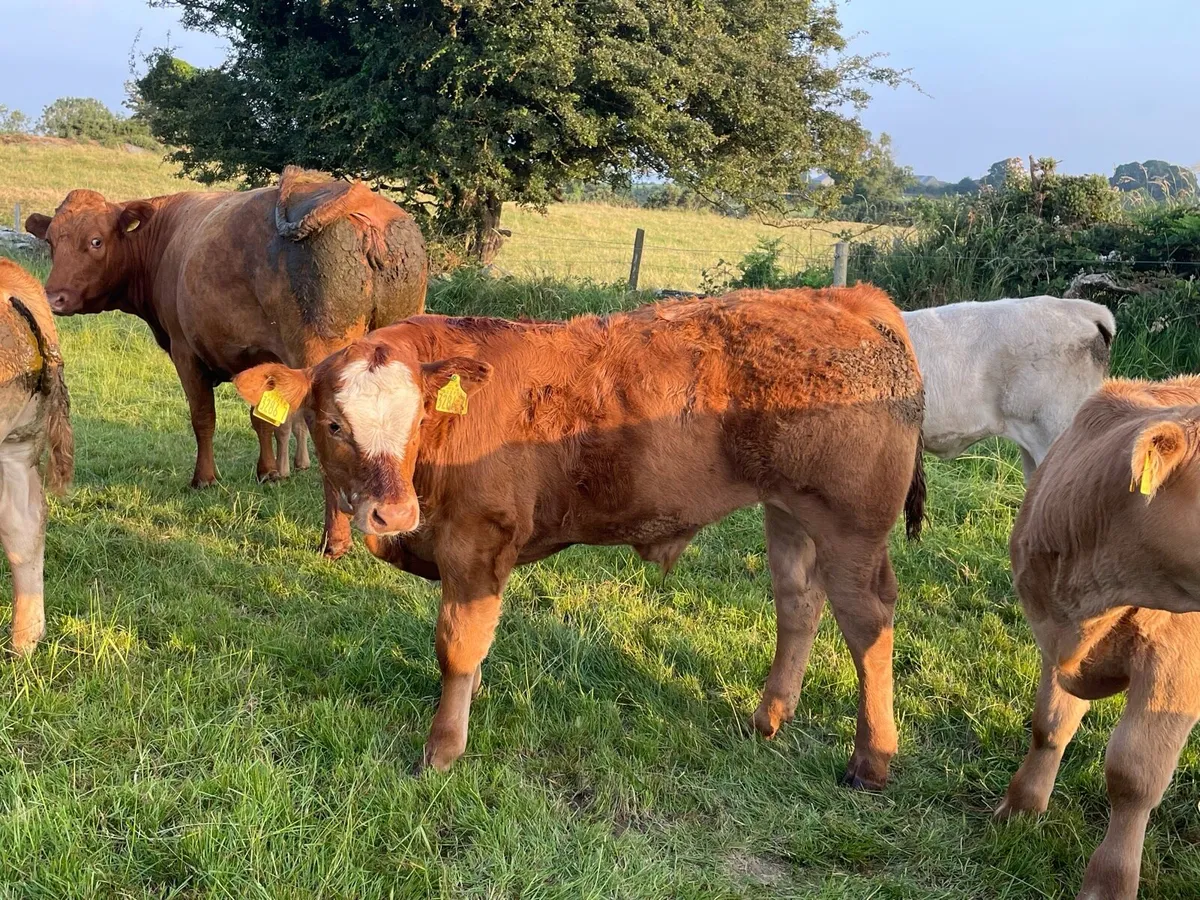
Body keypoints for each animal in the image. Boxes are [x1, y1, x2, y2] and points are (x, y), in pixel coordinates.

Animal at [24, 167, 427, 557]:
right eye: (52, 241)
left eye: (95, 241)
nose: (54, 297)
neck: (165, 239)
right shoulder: (258, 356)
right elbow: (262, 419)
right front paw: (267, 471)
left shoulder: (185, 352)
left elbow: (203, 418)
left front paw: (205, 478)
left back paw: (334, 541)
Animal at [232, 285, 927, 786]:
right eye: (333, 424)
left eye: (420, 416)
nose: (392, 513)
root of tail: (850, 298)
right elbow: (475, 647)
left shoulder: (477, 543)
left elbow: (457, 645)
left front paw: (442, 749)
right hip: (789, 513)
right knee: (798, 604)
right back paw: (768, 718)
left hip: (851, 526)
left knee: (868, 623)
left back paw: (872, 759)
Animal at [997, 375, 1200, 899]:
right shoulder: (1051, 634)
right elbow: (1049, 724)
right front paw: (1020, 808)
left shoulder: (1176, 666)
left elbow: (1133, 774)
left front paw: (1109, 882)